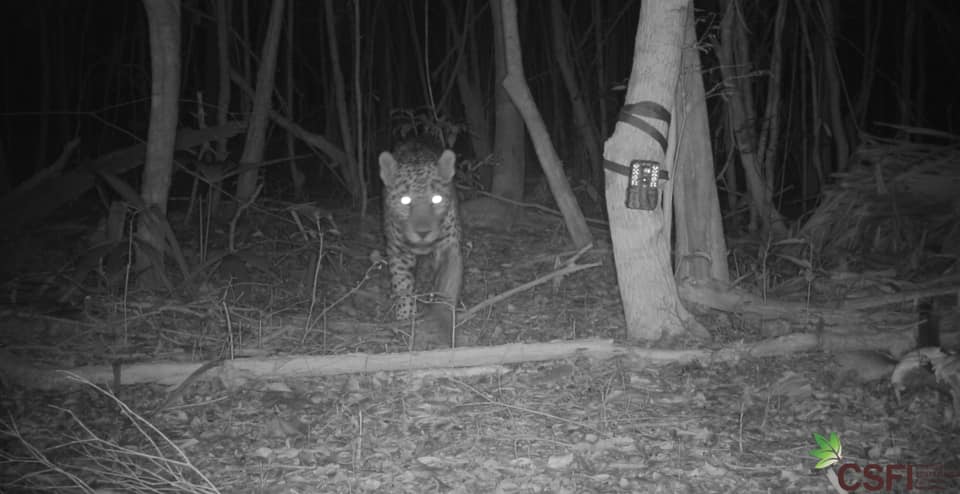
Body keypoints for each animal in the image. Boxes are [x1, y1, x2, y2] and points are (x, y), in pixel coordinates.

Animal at [378, 140, 463, 348]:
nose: (423, 232)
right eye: (405, 200)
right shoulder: (398, 250)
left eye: (436, 199)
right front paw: (406, 317)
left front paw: (442, 322)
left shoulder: (449, 247)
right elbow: (402, 284)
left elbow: (447, 287)